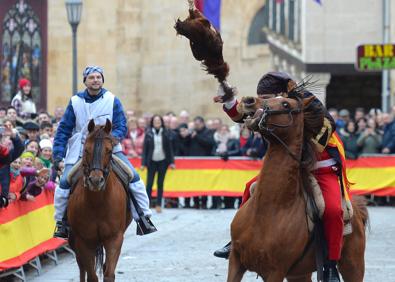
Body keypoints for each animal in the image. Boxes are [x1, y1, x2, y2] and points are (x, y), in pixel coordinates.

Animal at [67, 119, 131, 282]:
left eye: (109, 150)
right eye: (86, 150)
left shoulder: (114, 238)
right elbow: (92, 276)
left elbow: (108, 274)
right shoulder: (84, 241)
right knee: (82, 268)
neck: (97, 204)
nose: (96, 181)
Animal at [227, 96, 370, 280]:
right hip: (299, 274)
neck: (270, 208)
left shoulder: (275, 271)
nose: (249, 101)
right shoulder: (236, 261)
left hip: (353, 266)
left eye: (286, 104)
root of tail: (357, 211)